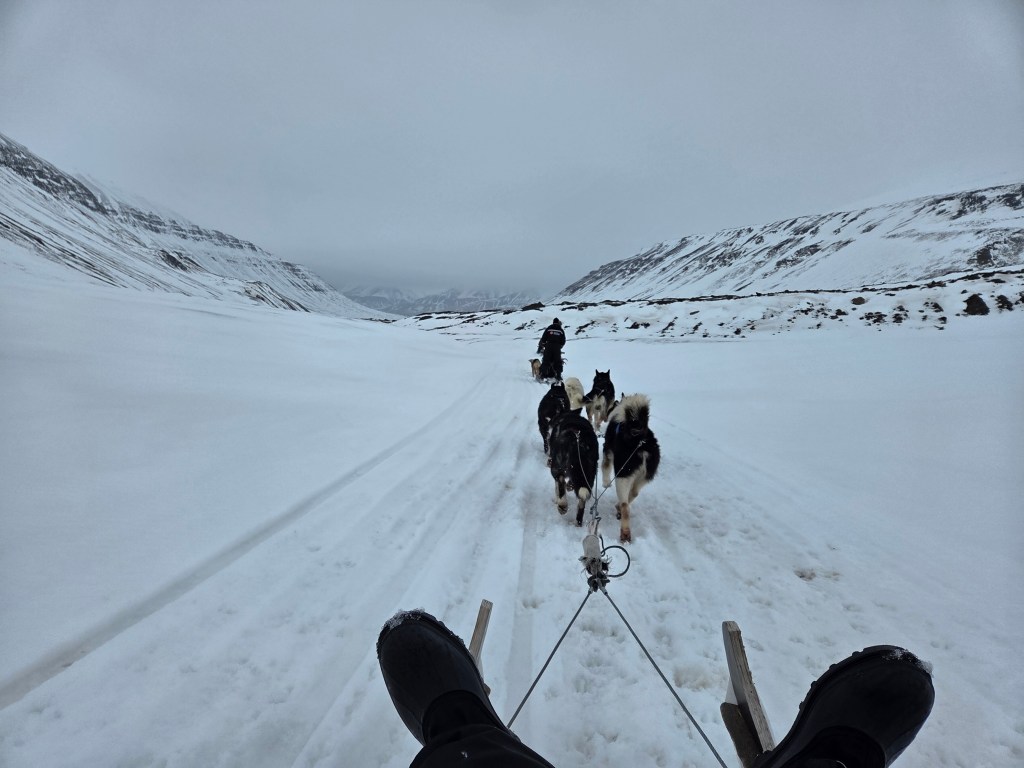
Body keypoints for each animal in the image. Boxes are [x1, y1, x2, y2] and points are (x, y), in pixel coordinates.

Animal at [601, 394, 660, 543]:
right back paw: (618, 507)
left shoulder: (607, 452)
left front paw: (605, 483)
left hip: (622, 477)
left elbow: (605, 468)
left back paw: (625, 533)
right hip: (643, 478)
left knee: (625, 507)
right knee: (633, 494)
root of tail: (642, 444)